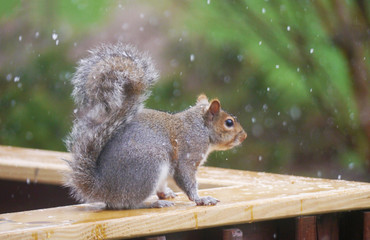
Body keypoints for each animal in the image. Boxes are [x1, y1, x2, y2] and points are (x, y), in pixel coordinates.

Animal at [65, 42, 247, 209]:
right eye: (229, 122)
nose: (244, 136)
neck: (201, 127)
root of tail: (102, 187)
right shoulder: (188, 155)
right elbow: (187, 179)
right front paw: (201, 199)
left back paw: (165, 195)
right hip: (149, 167)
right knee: (130, 204)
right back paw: (155, 203)